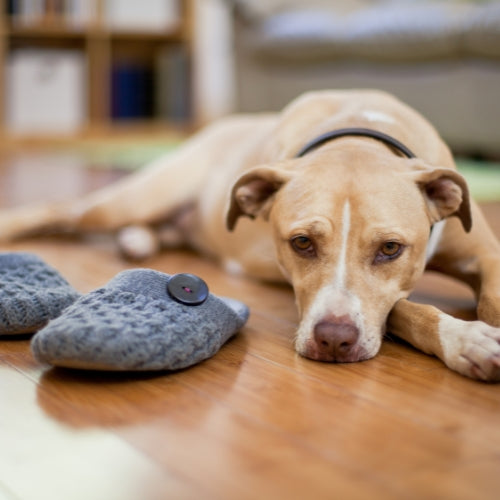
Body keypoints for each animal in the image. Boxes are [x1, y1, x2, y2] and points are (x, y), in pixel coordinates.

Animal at [1, 90, 499, 381]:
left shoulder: (486, 252)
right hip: (129, 200)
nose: (333, 340)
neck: (361, 133)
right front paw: (468, 339)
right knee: (61, 210)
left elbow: (486, 296)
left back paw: (137, 241)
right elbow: (404, 309)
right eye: (302, 243)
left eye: (391, 249)